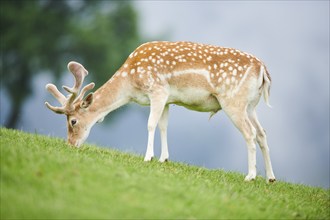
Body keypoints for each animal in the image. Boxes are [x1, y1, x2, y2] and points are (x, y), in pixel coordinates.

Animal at [44, 41, 276, 182]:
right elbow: (164, 125)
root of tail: (263, 70)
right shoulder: (167, 99)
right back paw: (270, 178)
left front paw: (148, 157)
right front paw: (164, 158)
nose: (70, 144)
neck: (130, 83)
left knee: (250, 133)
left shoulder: (157, 90)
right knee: (262, 133)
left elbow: (150, 124)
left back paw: (250, 176)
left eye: (72, 121)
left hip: (233, 101)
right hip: (251, 105)